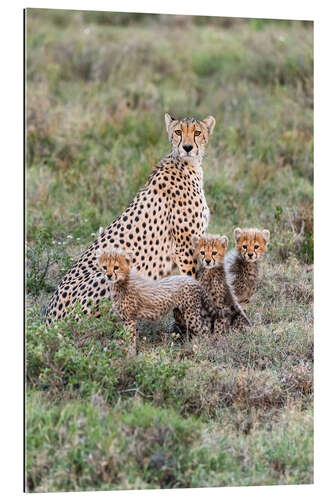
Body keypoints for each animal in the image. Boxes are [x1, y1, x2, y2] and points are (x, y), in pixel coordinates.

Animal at [44, 113, 215, 322]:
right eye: (178, 132)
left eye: (197, 132)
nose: (188, 147)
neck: (187, 164)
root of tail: (48, 318)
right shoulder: (184, 248)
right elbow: (192, 282)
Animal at [96, 249, 224, 352]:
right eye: (105, 267)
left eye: (116, 267)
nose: (109, 275)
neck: (121, 282)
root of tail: (192, 280)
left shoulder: (130, 319)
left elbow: (130, 339)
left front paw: (130, 356)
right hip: (180, 312)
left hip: (191, 314)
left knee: (205, 330)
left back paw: (205, 348)